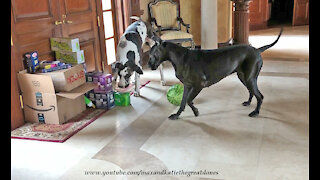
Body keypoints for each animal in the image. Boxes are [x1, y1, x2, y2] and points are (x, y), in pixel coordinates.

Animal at [148, 28, 282, 119]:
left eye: (151, 54)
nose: (149, 65)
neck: (181, 57)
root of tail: (257, 50)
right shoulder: (187, 85)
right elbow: (183, 101)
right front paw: (177, 115)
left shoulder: (199, 85)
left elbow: (189, 100)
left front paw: (195, 111)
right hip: (244, 77)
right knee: (252, 91)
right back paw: (248, 103)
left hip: (249, 78)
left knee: (260, 96)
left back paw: (256, 112)